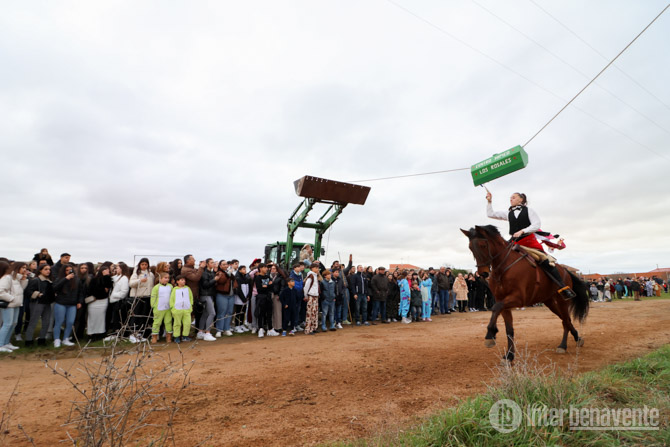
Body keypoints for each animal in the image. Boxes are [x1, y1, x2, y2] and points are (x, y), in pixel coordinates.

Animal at [461, 225, 589, 361]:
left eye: (483, 245)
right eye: (470, 247)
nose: (483, 273)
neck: (503, 268)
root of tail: (565, 271)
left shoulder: (518, 299)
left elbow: (495, 308)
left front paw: (490, 334)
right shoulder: (504, 303)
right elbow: (509, 329)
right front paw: (509, 355)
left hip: (561, 301)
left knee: (565, 321)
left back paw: (563, 345)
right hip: (550, 302)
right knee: (566, 320)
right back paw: (577, 338)